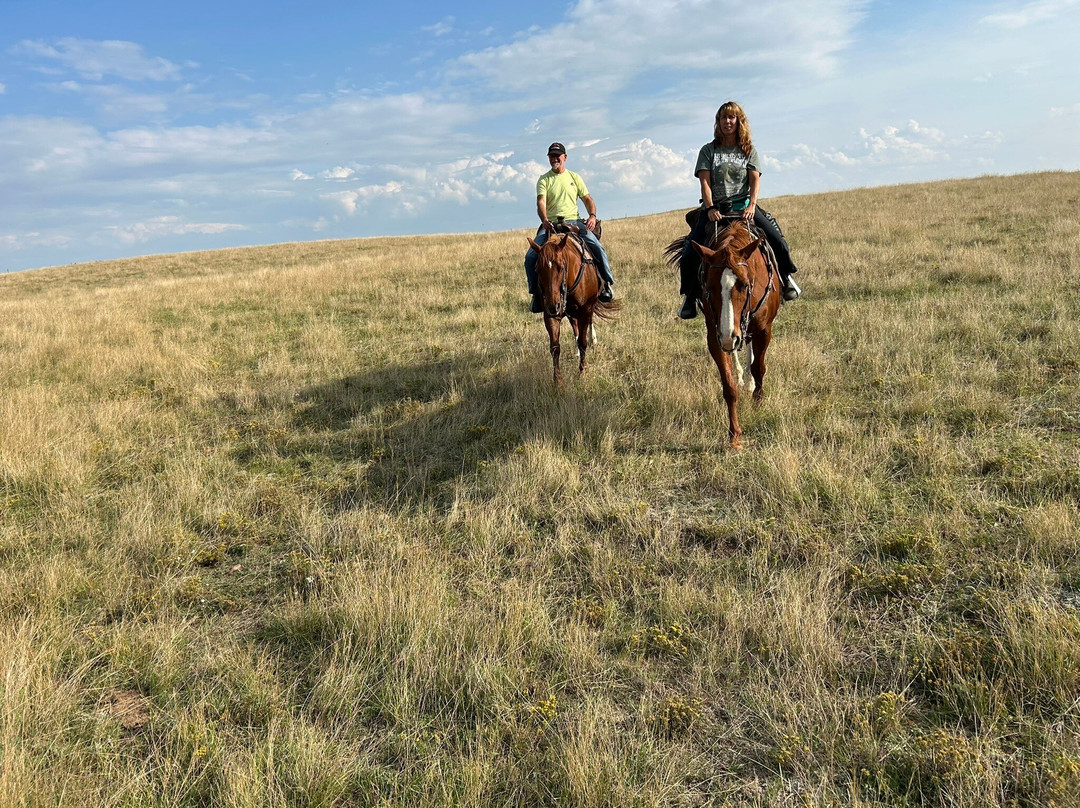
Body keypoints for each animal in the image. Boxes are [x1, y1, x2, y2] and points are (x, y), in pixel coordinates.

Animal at [527, 229, 620, 388]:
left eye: (561, 267)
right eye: (537, 269)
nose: (554, 305)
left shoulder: (586, 309)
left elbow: (583, 342)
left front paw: (582, 374)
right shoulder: (550, 315)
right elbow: (555, 347)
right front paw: (558, 381)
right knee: (575, 328)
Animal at [667, 218, 782, 449]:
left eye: (745, 285)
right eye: (708, 287)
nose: (730, 336)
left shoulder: (764, 330)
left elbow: (759, 368)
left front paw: (758, 400)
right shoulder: (715, 335)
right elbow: (728, 386)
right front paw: (734, 435)